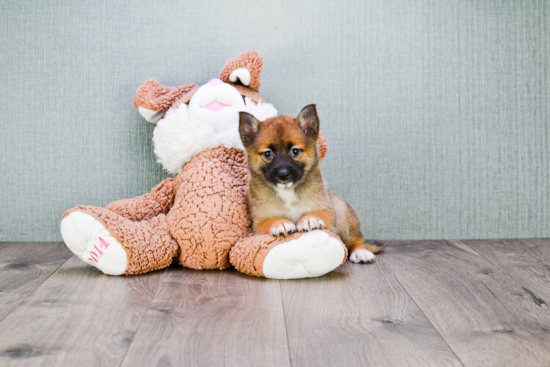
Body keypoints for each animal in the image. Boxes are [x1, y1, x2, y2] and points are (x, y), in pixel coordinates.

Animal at [242, 105, 384, 264]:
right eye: (268, 154)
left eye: (295, 151)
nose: (283, 174)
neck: (288, 192)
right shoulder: (259, 223)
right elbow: (271, 221)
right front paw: (280, 224)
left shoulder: (328, 211)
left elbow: (317, 213)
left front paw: (310, 219)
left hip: (343, 213)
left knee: (355, 239)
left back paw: (361, 252)